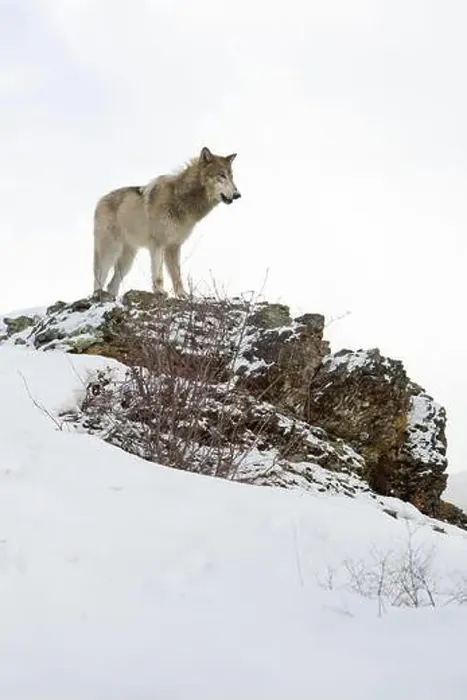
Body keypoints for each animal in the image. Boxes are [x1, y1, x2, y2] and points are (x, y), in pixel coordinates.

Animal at [93, 146, 240, 298]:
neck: (180, 199)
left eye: (231, 177)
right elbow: (158, 273)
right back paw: (98, 295)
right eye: (221, 175)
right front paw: (159, 291)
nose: (238, 195)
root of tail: (100, 200)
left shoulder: (174, 245)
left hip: (128, 259)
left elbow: (177, 275)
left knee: (112, 285)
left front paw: (183, 295)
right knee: (99, 278)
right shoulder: (158, 243)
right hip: (110, 251)